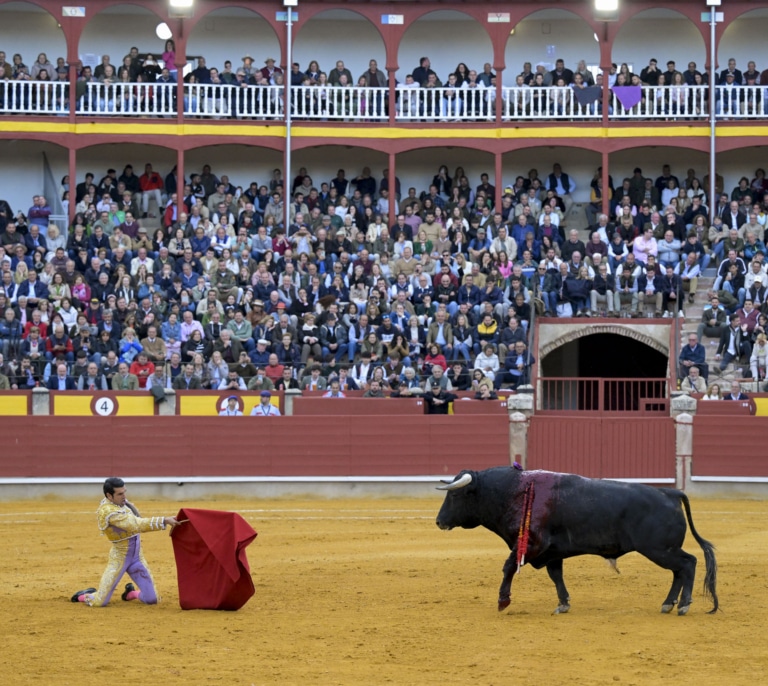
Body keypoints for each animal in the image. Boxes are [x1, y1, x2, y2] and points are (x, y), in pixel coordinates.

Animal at [438, 468, 720, 620]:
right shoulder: (552, 553)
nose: (439, 521)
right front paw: (563, 603)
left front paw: (503, 601)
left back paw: (683, 605)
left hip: (660, 549)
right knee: (679, 570)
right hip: (663, 550)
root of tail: (670, 492)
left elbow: (508, 568)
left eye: (455, 495)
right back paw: (668, 603)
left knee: (688, 564)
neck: (513, 492)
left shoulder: (532, 545)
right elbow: (556, 576)